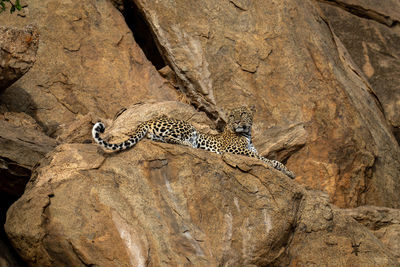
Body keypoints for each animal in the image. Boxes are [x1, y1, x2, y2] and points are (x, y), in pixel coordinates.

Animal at [92, 105, 296, 179]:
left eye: (244, 113)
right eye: (232, 115)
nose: (238, 122)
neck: (247, 133)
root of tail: (145, 121)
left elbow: (267, 158)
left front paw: (289, 172)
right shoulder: (232, 150)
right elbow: (267, 160)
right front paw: (282, 169)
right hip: (188, 126)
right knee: (169, 137)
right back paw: (192, 145)